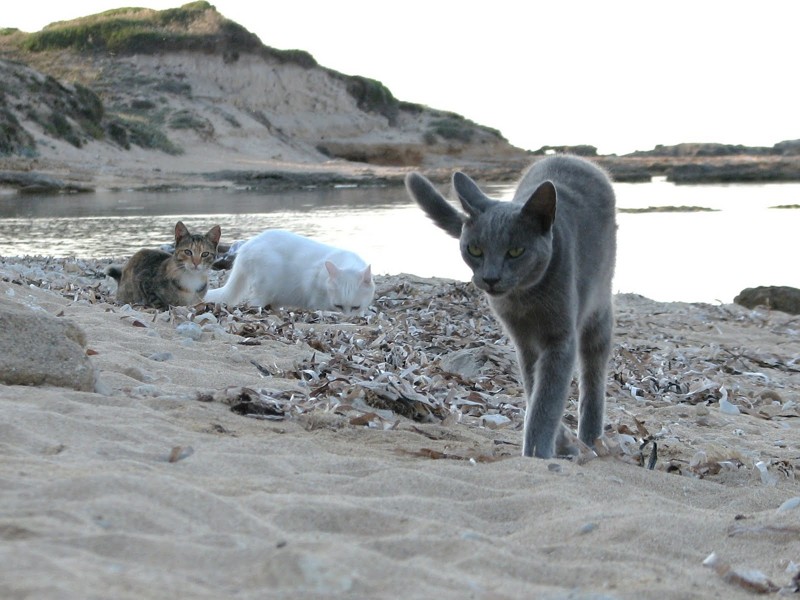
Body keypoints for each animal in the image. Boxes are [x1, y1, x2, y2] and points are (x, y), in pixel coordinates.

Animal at [202, 229, 374, 314]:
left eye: (355, 307)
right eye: (338, 306)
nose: (347, 318)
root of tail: (245, 247)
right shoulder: (314, 287)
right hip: (266, 283)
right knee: (254, 303)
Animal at [406, 156, 620, 460]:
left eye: (516, 251)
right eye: (474, 250)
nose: (491, 278)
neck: (524, 300)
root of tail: (574, 157)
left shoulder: (560, 338)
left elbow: (547, 399)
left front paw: (538, 452)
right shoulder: (524, 342)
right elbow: (534, 390)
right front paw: (556, 443)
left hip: (599, 306)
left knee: (593, 372)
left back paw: (591, 438)